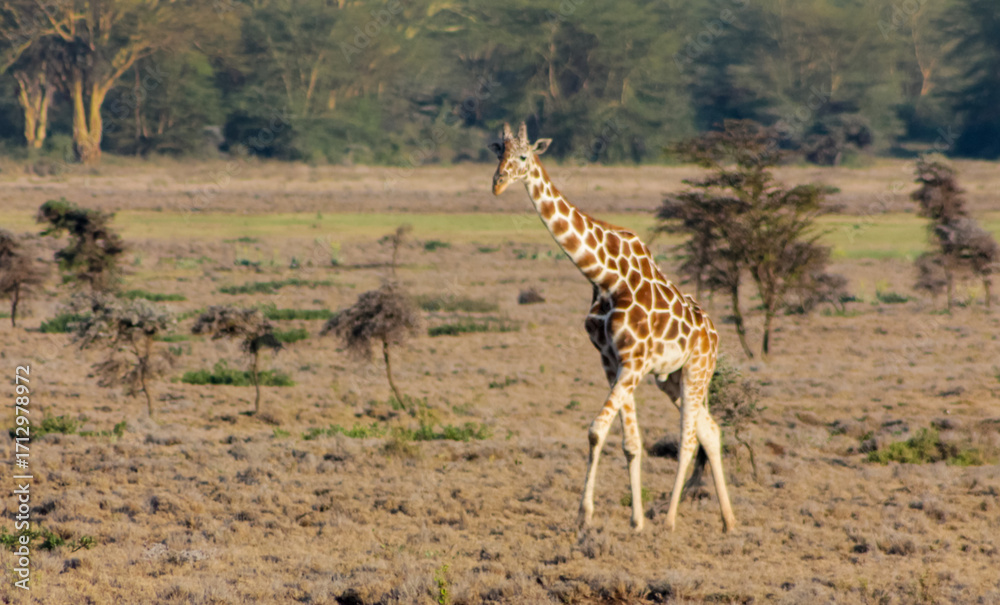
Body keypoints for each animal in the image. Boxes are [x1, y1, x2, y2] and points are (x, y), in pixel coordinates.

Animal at [489, 122, 736, 533]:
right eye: (498, 153)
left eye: (523, 156)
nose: (497, 183)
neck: (604, 276)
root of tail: (715, 334)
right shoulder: (612, 362)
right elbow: (630, 443)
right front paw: (636, 521)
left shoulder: (632, 364)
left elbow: (596, 430)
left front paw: (584, 515)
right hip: (670, 379)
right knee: (711, 431)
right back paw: (729, 522)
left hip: (698, 371)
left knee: (689, 439)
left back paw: (670, 520)